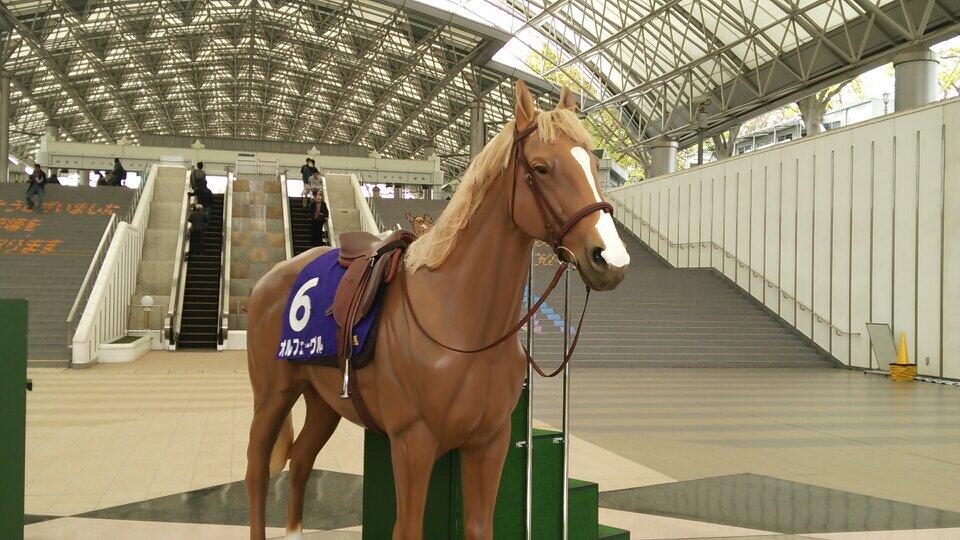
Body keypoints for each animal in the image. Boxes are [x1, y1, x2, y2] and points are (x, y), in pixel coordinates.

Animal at [245, 80, 630, 540]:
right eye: (541, 168)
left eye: (593, 163)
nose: (610, 258)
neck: (460, 326)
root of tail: (271, 278)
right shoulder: (413, 443)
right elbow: (407, 528)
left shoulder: (489, 443)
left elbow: (480, 526)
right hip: (272, 396)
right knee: (257, 471)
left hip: (322, 400)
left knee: (302, 459)